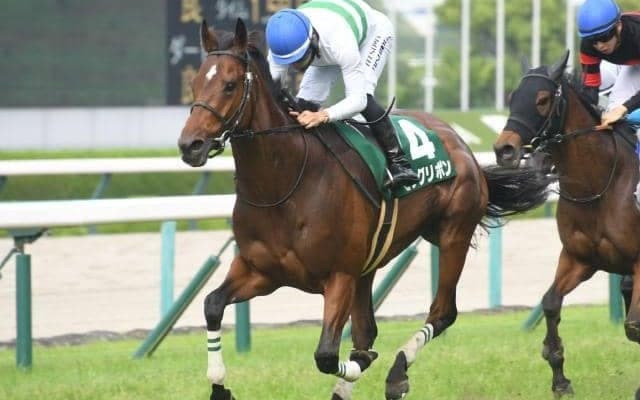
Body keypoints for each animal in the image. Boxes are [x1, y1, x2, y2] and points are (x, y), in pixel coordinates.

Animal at [178, 18, 551, 400]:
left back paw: (398, 371)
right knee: (368, 329)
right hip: (371, 264)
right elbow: (212, 305)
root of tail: (463, 147)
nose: (190, 145)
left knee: (442, 312)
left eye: (229, 85)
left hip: (453, 234)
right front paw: (219, 387)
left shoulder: (339, 275)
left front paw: (369, 366)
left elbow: (328, 355)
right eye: (194, 83)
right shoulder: (260, 270)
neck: (284, 186)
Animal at [494, 50, 640, 398]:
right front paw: (559, 375)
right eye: (512, 96)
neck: (600, 186)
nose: (504, 149)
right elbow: (550, 303)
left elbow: (634, 326)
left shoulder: (639, 262)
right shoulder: (579, 259)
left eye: (543, 99)